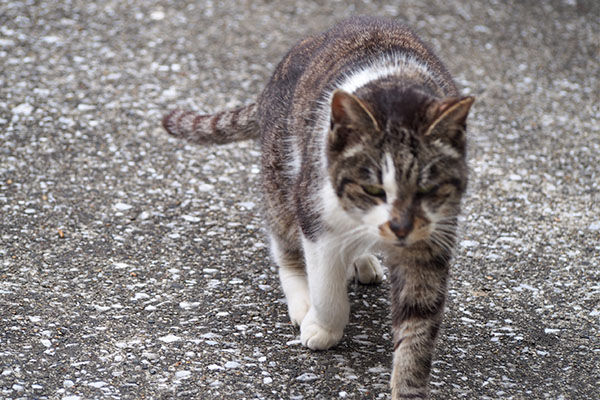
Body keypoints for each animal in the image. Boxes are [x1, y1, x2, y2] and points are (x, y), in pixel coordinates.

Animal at [163, 16, 474, 400]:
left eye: (426, 189)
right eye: (373, 188)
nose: (400, 227)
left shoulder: (431, 240)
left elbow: (417, 328)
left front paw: (407, 387)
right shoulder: (315, 215)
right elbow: (327, 287)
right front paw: (322, 326)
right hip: (281, 179)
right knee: (286, 246)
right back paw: (302, 299)